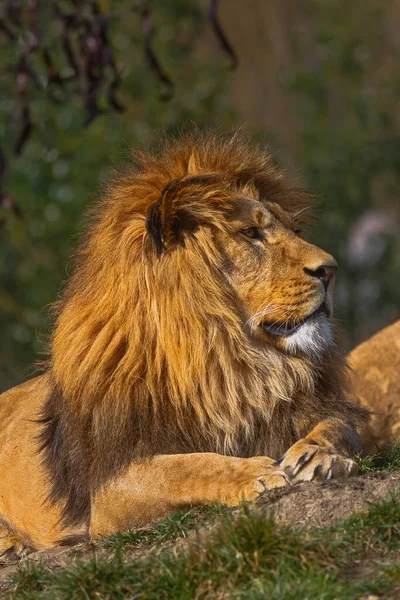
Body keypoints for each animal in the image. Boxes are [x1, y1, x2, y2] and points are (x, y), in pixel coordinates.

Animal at [0, 131, 368, 552]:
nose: (330, 270)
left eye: (295, 231)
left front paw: (317, 455)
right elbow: (181, 467)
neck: (228, 362)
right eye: (250, 233)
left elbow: (338, 426)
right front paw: (251, 475)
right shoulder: (108, 488)